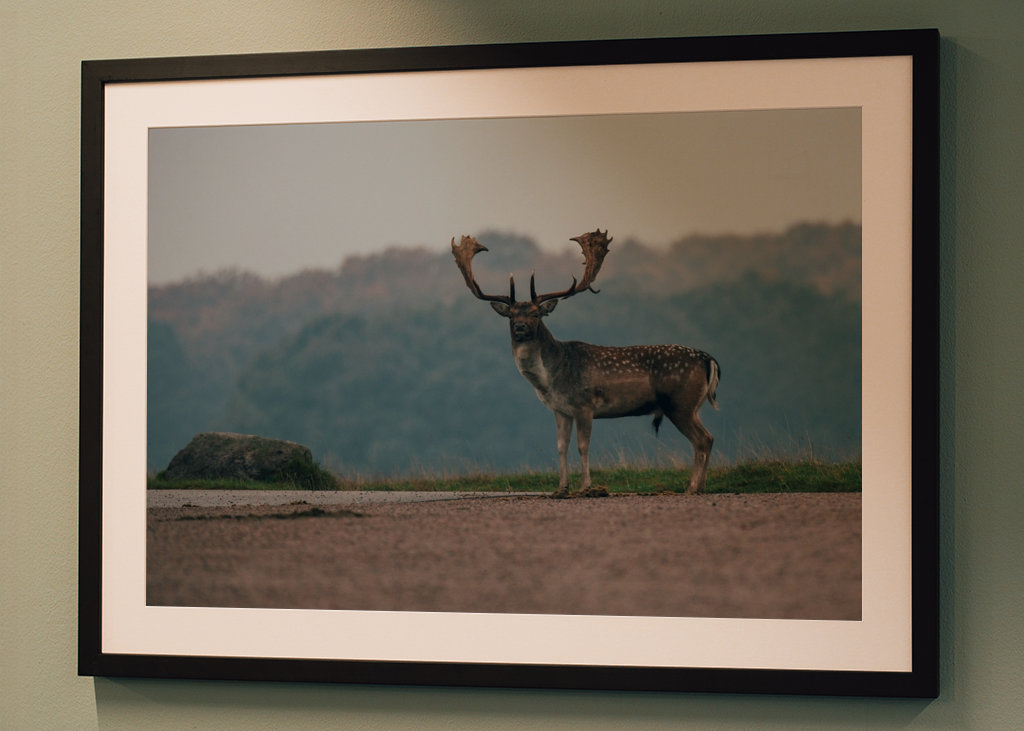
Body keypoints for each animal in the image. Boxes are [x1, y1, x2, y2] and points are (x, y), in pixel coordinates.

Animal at [452, 229, 720, 498]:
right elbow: (561, 446)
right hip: (691, 406)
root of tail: (709, 360)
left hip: (679, 403)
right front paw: (561, 488)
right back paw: (701, 486)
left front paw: (586, 487)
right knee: (707, 438)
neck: (551, 379)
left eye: (536, 314)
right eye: (510, 315)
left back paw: (692, 487)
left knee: (703, 439)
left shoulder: (584, 405)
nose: (520, 327)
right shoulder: (560, 410)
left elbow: (583, 446)